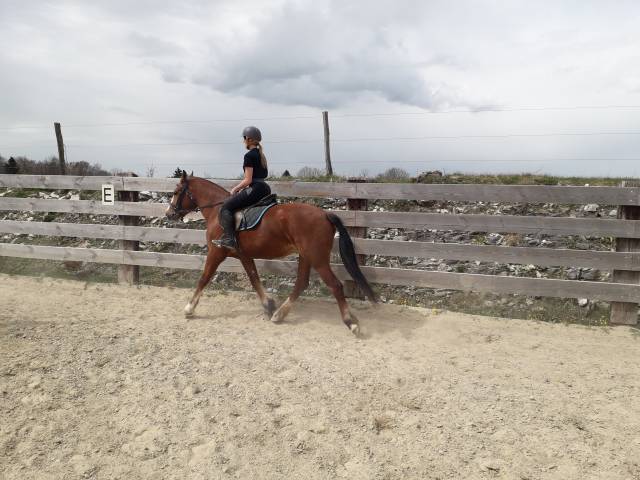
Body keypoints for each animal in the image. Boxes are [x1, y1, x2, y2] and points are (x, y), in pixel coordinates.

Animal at [165, 172, 377, 335]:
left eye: (175, 192)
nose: (169, 214)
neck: (217, 211)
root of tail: (325, 214)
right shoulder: (244, 255)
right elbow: (254, 278)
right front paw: (268, 305)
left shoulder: (216, 252)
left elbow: (204, 278)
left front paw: (189, 308)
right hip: (306, 256)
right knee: (301, 283)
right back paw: (279, 314)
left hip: (317, 258)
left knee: (335, 286)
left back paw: (351, 323)